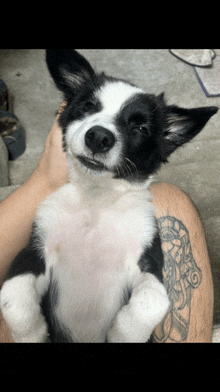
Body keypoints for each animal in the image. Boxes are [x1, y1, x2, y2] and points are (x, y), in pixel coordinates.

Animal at [0, 49, 217, 344]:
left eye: (140, 129)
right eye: (88, 107)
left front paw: (124, 332)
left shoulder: (149, 262)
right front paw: (32, 332)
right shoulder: (35, 250)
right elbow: (12, 295)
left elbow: (153, 302)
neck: (96, 198)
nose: (99, 137)